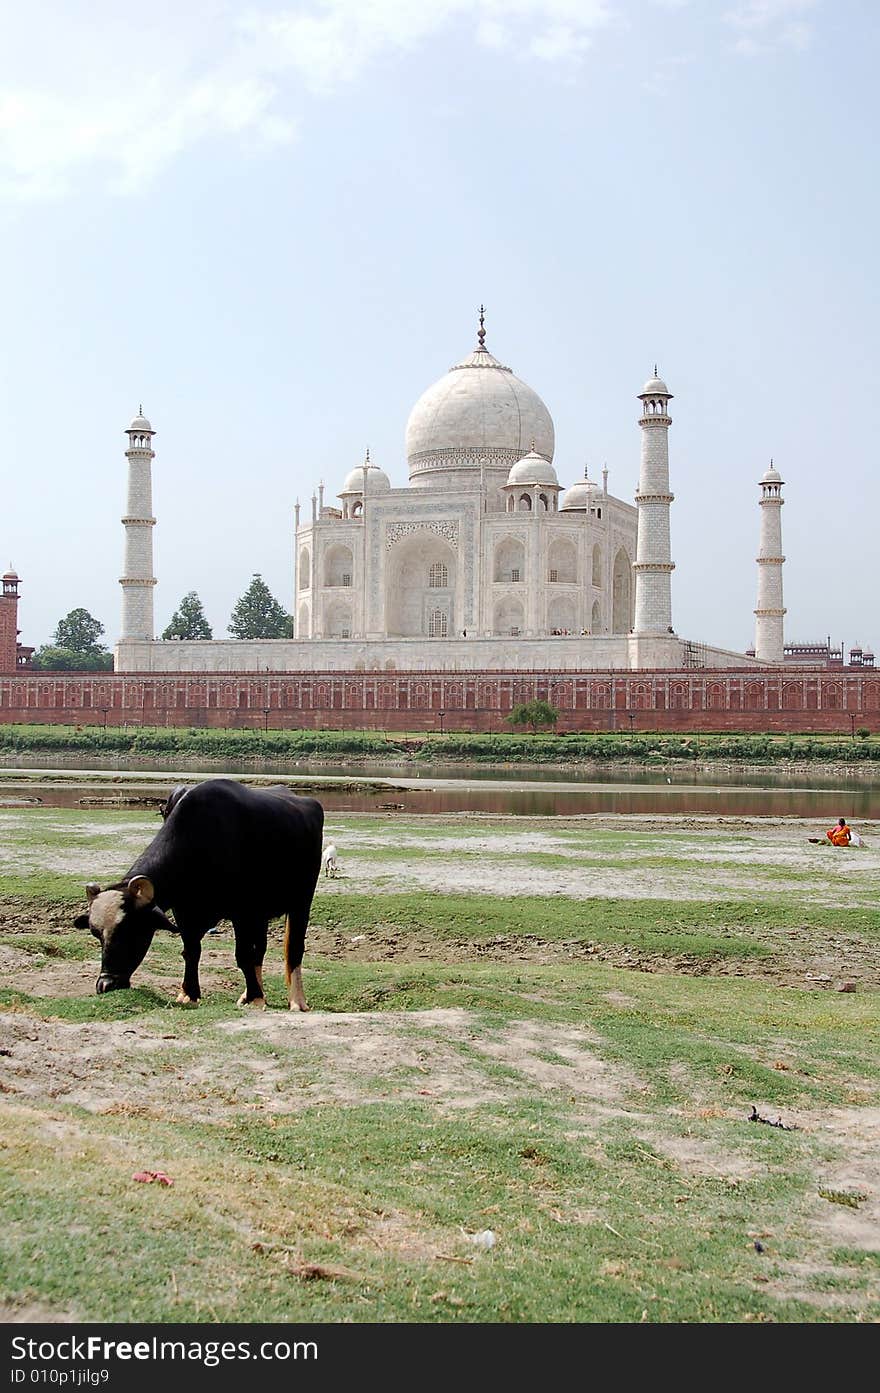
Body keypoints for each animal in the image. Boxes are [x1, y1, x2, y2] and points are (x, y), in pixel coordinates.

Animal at [75, 774, 323, 1014]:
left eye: (130, 930)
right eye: (96, 934)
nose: (106, 984)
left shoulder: (241, 912)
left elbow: (243, 955)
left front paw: (256, 997)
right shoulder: (186, 912)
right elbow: (192, 951)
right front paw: (189, 993)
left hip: (300, 902)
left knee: (293, 950)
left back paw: (296, 1001)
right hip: (260, 915)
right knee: (260, 950)